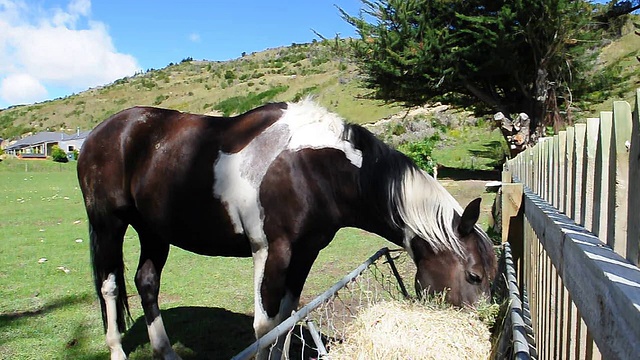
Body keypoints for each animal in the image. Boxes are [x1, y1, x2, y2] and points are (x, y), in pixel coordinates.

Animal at [77, 99, 498, 360]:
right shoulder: (271, 251)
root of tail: (101, 132)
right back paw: (116, 349)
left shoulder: (306, 251)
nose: (481, 328)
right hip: (108, 224)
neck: (312, 166)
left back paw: (165, 351)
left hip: (154, 230)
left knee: (146, 282)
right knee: (109, 285)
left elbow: (286, 318)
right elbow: (265, 324)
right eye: (474, 276)